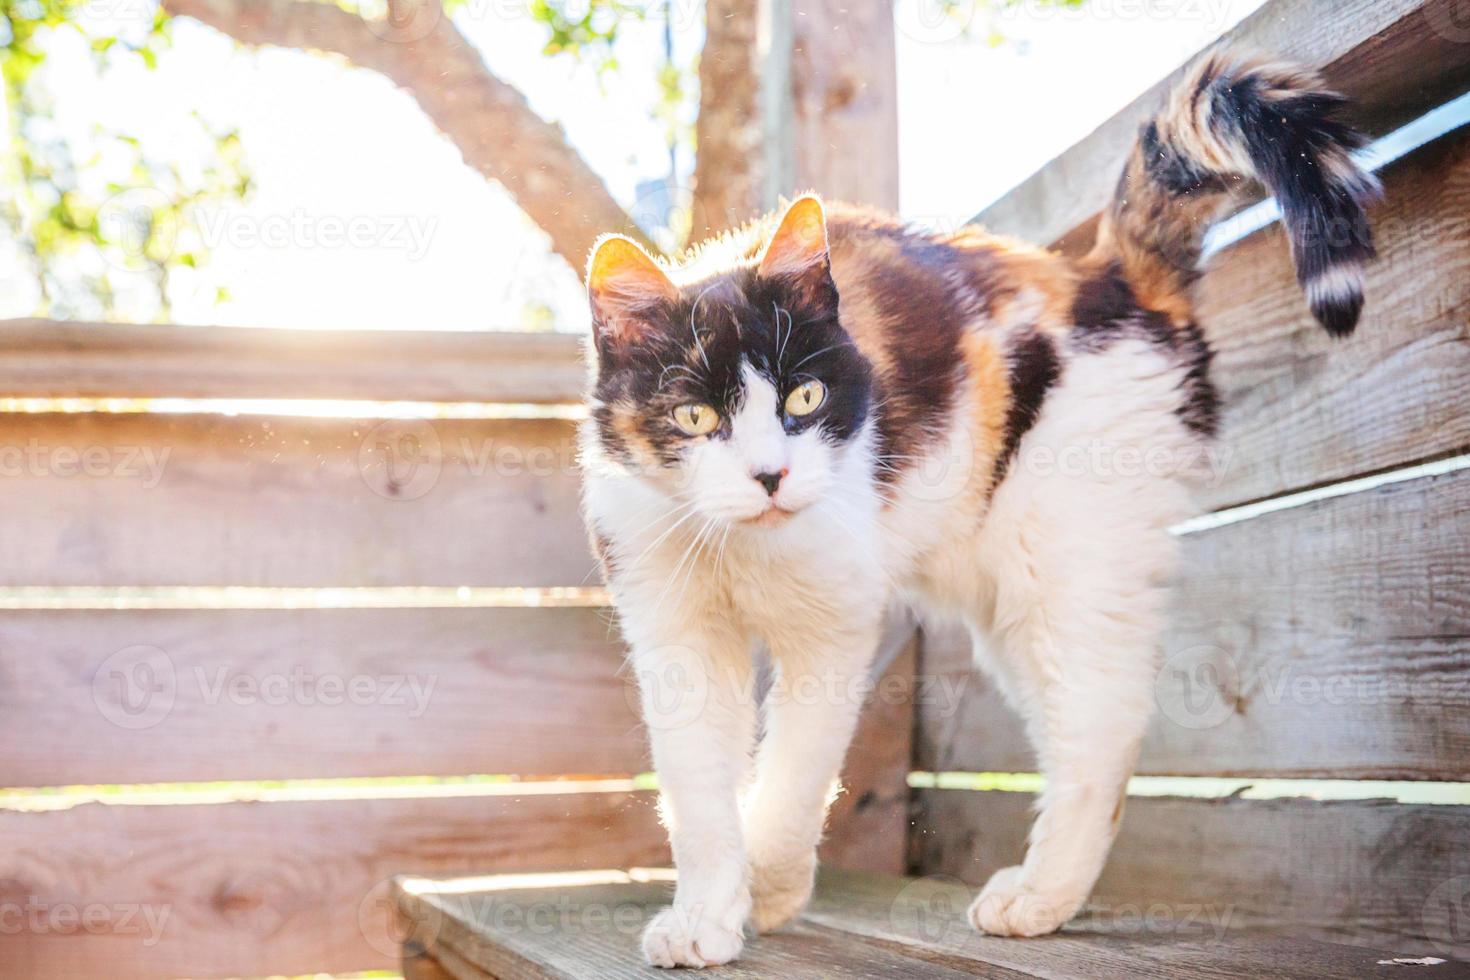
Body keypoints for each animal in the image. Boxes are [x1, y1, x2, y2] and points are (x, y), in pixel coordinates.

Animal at [576, 51, 1375, 963]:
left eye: (805, 397)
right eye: (694, 418)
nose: (771, 476)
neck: (742, 547)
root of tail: (1107, 278)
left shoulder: (836, 629)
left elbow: (794, 776)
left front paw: (772, 887)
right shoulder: (673, 627)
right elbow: (699, 785)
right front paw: (708, 914)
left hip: (1066, 555)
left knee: (1105, 719)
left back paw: (1039, 896)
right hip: (1008, 606)